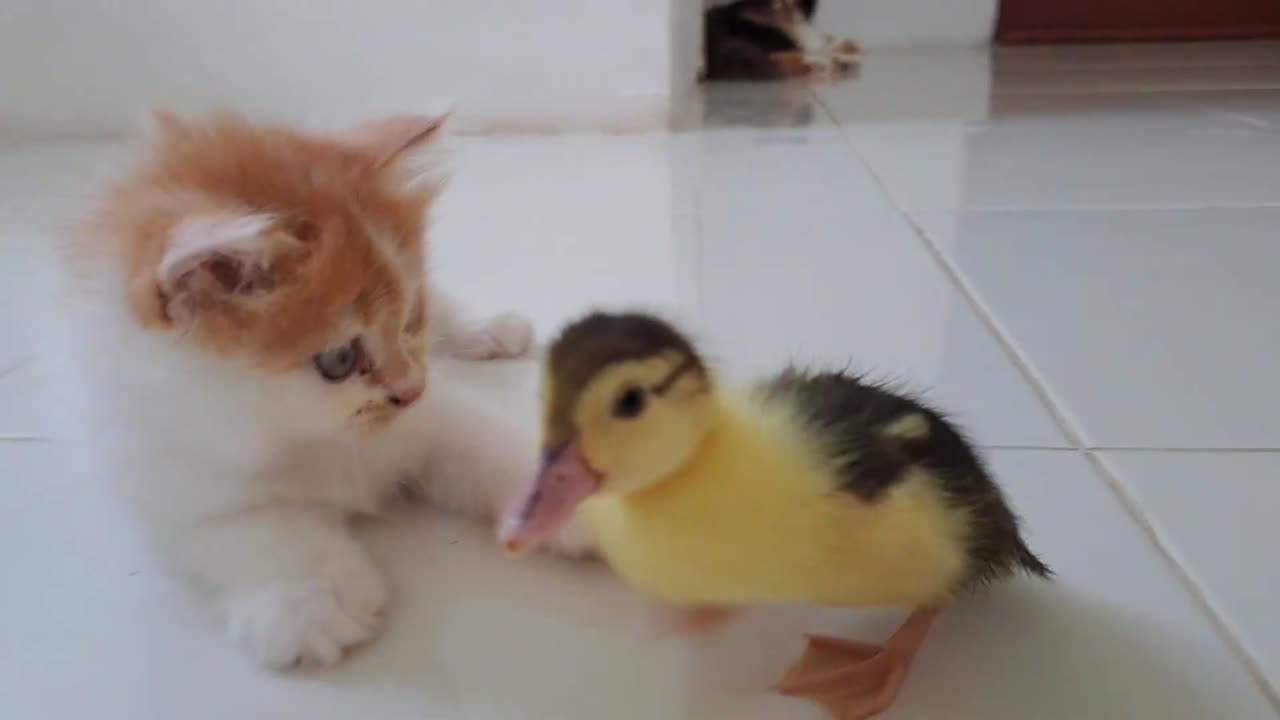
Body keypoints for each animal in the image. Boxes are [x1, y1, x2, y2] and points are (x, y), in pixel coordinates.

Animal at [62, 112, 591, 666]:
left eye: (409, 318)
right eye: (339, 360)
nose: (412, 388)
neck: (299, 435)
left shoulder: (428, 417)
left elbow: (482, 445)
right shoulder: (170, 480)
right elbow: (252, 532)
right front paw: (310, 602)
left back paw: (490, 328)